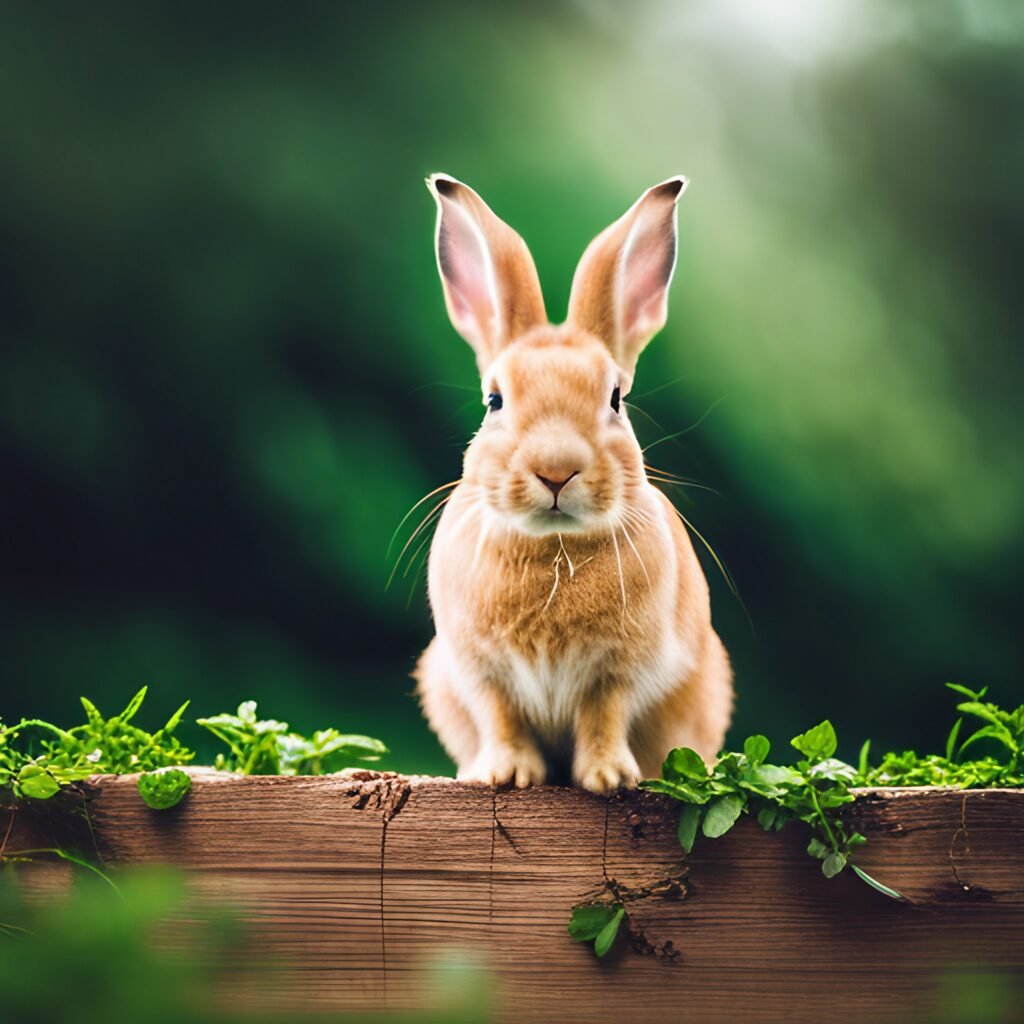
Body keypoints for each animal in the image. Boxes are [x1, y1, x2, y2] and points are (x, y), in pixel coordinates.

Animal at [413, 173, 733, 794]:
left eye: (615, 399)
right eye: (494, 401)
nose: (556, 470)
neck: (553, 550)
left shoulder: (618, 672)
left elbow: (603, 716)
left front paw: (609, 778)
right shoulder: (481, 672)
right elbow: (502, 717)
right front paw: (508, 774)